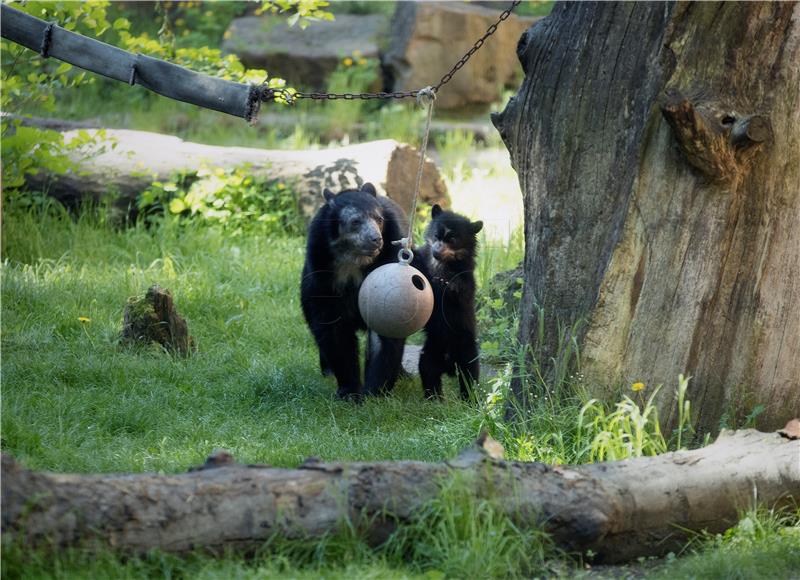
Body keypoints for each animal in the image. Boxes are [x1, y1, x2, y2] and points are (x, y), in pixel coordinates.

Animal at [304, 184, 410, 402]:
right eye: (355, 222)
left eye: (379, 219)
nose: (376, 239)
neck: (353, 259)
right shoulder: (321, 277)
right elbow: (333, 330)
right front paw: (350, 392)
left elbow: (385, 330)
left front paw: (376, 392)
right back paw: (327, 371)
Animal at [412, 204, 482, 398]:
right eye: (436, 236)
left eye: (452, 239)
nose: (436, 251)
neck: (442, 264)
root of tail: (449, 365)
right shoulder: (425, 265)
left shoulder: (466, 276)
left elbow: (462, 292)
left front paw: (450, 284)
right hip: (431, 352)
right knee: (428, 372)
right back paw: (434, 398)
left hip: (467, 350)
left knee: (470, 375)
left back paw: (469, 399)